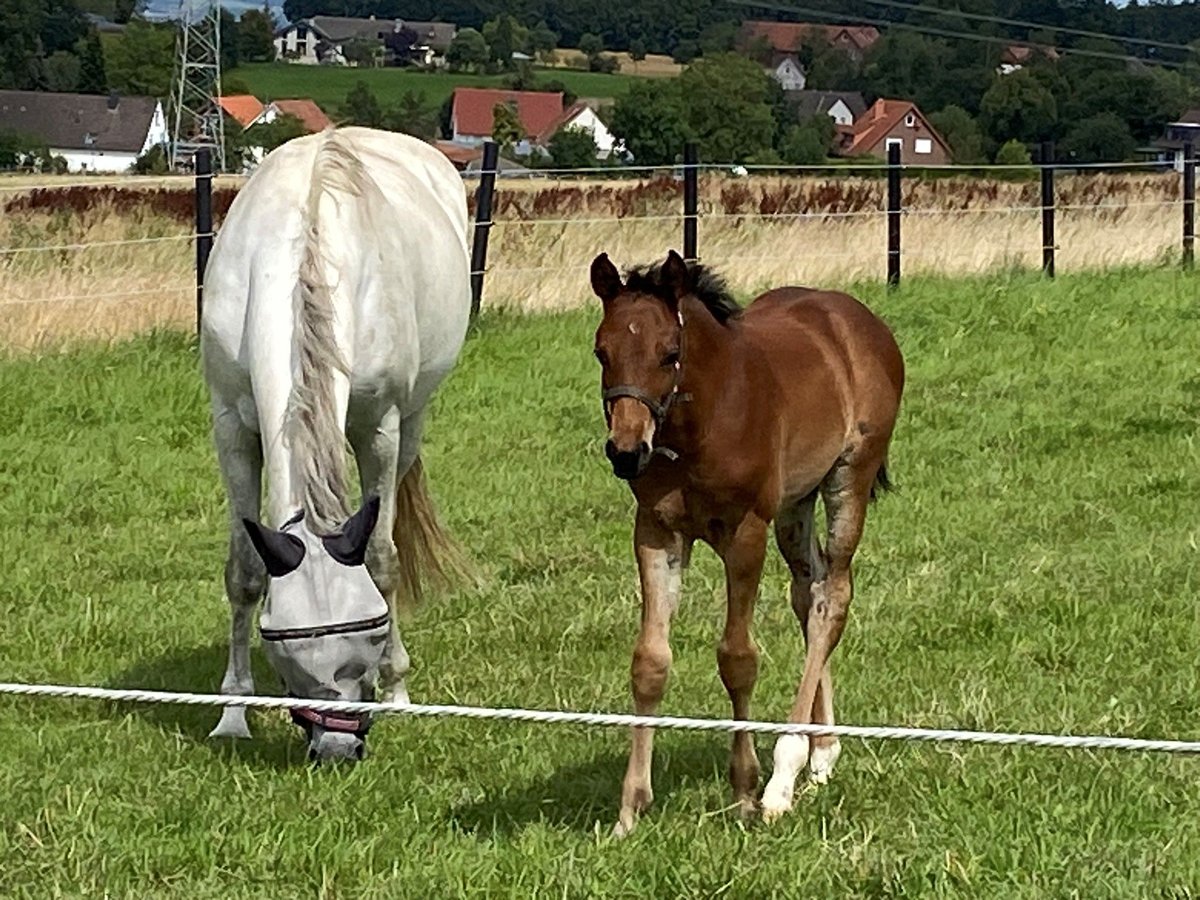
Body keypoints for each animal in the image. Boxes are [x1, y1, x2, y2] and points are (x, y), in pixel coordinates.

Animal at [201, 127, 468, 763]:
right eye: (284, 651)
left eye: (371, 630)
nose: (338, 747)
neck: (304, 258)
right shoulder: (231, 428)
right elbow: (244, 571)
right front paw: (232, 714)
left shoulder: (381, 430)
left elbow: (382, 557)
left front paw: (397, 691)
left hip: (412, 420)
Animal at [590, 250, 902, 835]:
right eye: (602, 351)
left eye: (670, 354)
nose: (625, 451)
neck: (702, 423)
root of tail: (857, 316)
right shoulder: (656, 532)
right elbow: (649, 661)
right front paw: (630, 808)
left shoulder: (745, 533)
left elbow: (737, 658)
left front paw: (745, 792)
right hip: (796, 502)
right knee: (809, 592)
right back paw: (821, 753)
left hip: (848, 477)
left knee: (834, 597)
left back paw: (785, 776)